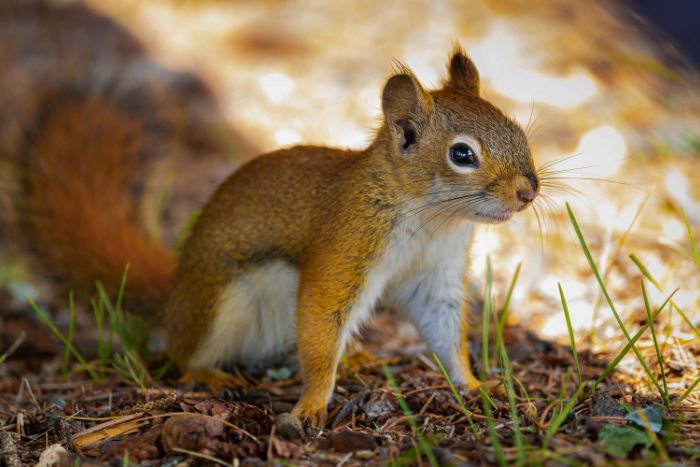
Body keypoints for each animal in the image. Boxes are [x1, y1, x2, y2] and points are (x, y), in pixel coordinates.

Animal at [19, 46, 539, 425]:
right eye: (462, 154)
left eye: (516, 128)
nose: (528, 192)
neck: (432, 218)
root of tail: (174, 299)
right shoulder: (345, 246)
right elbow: (320, 324)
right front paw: (311, 405)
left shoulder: (436, 273)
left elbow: (446, 333)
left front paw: (473, 385)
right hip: (220, 304)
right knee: (183, 355)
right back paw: (209, 375)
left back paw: (356, 359)